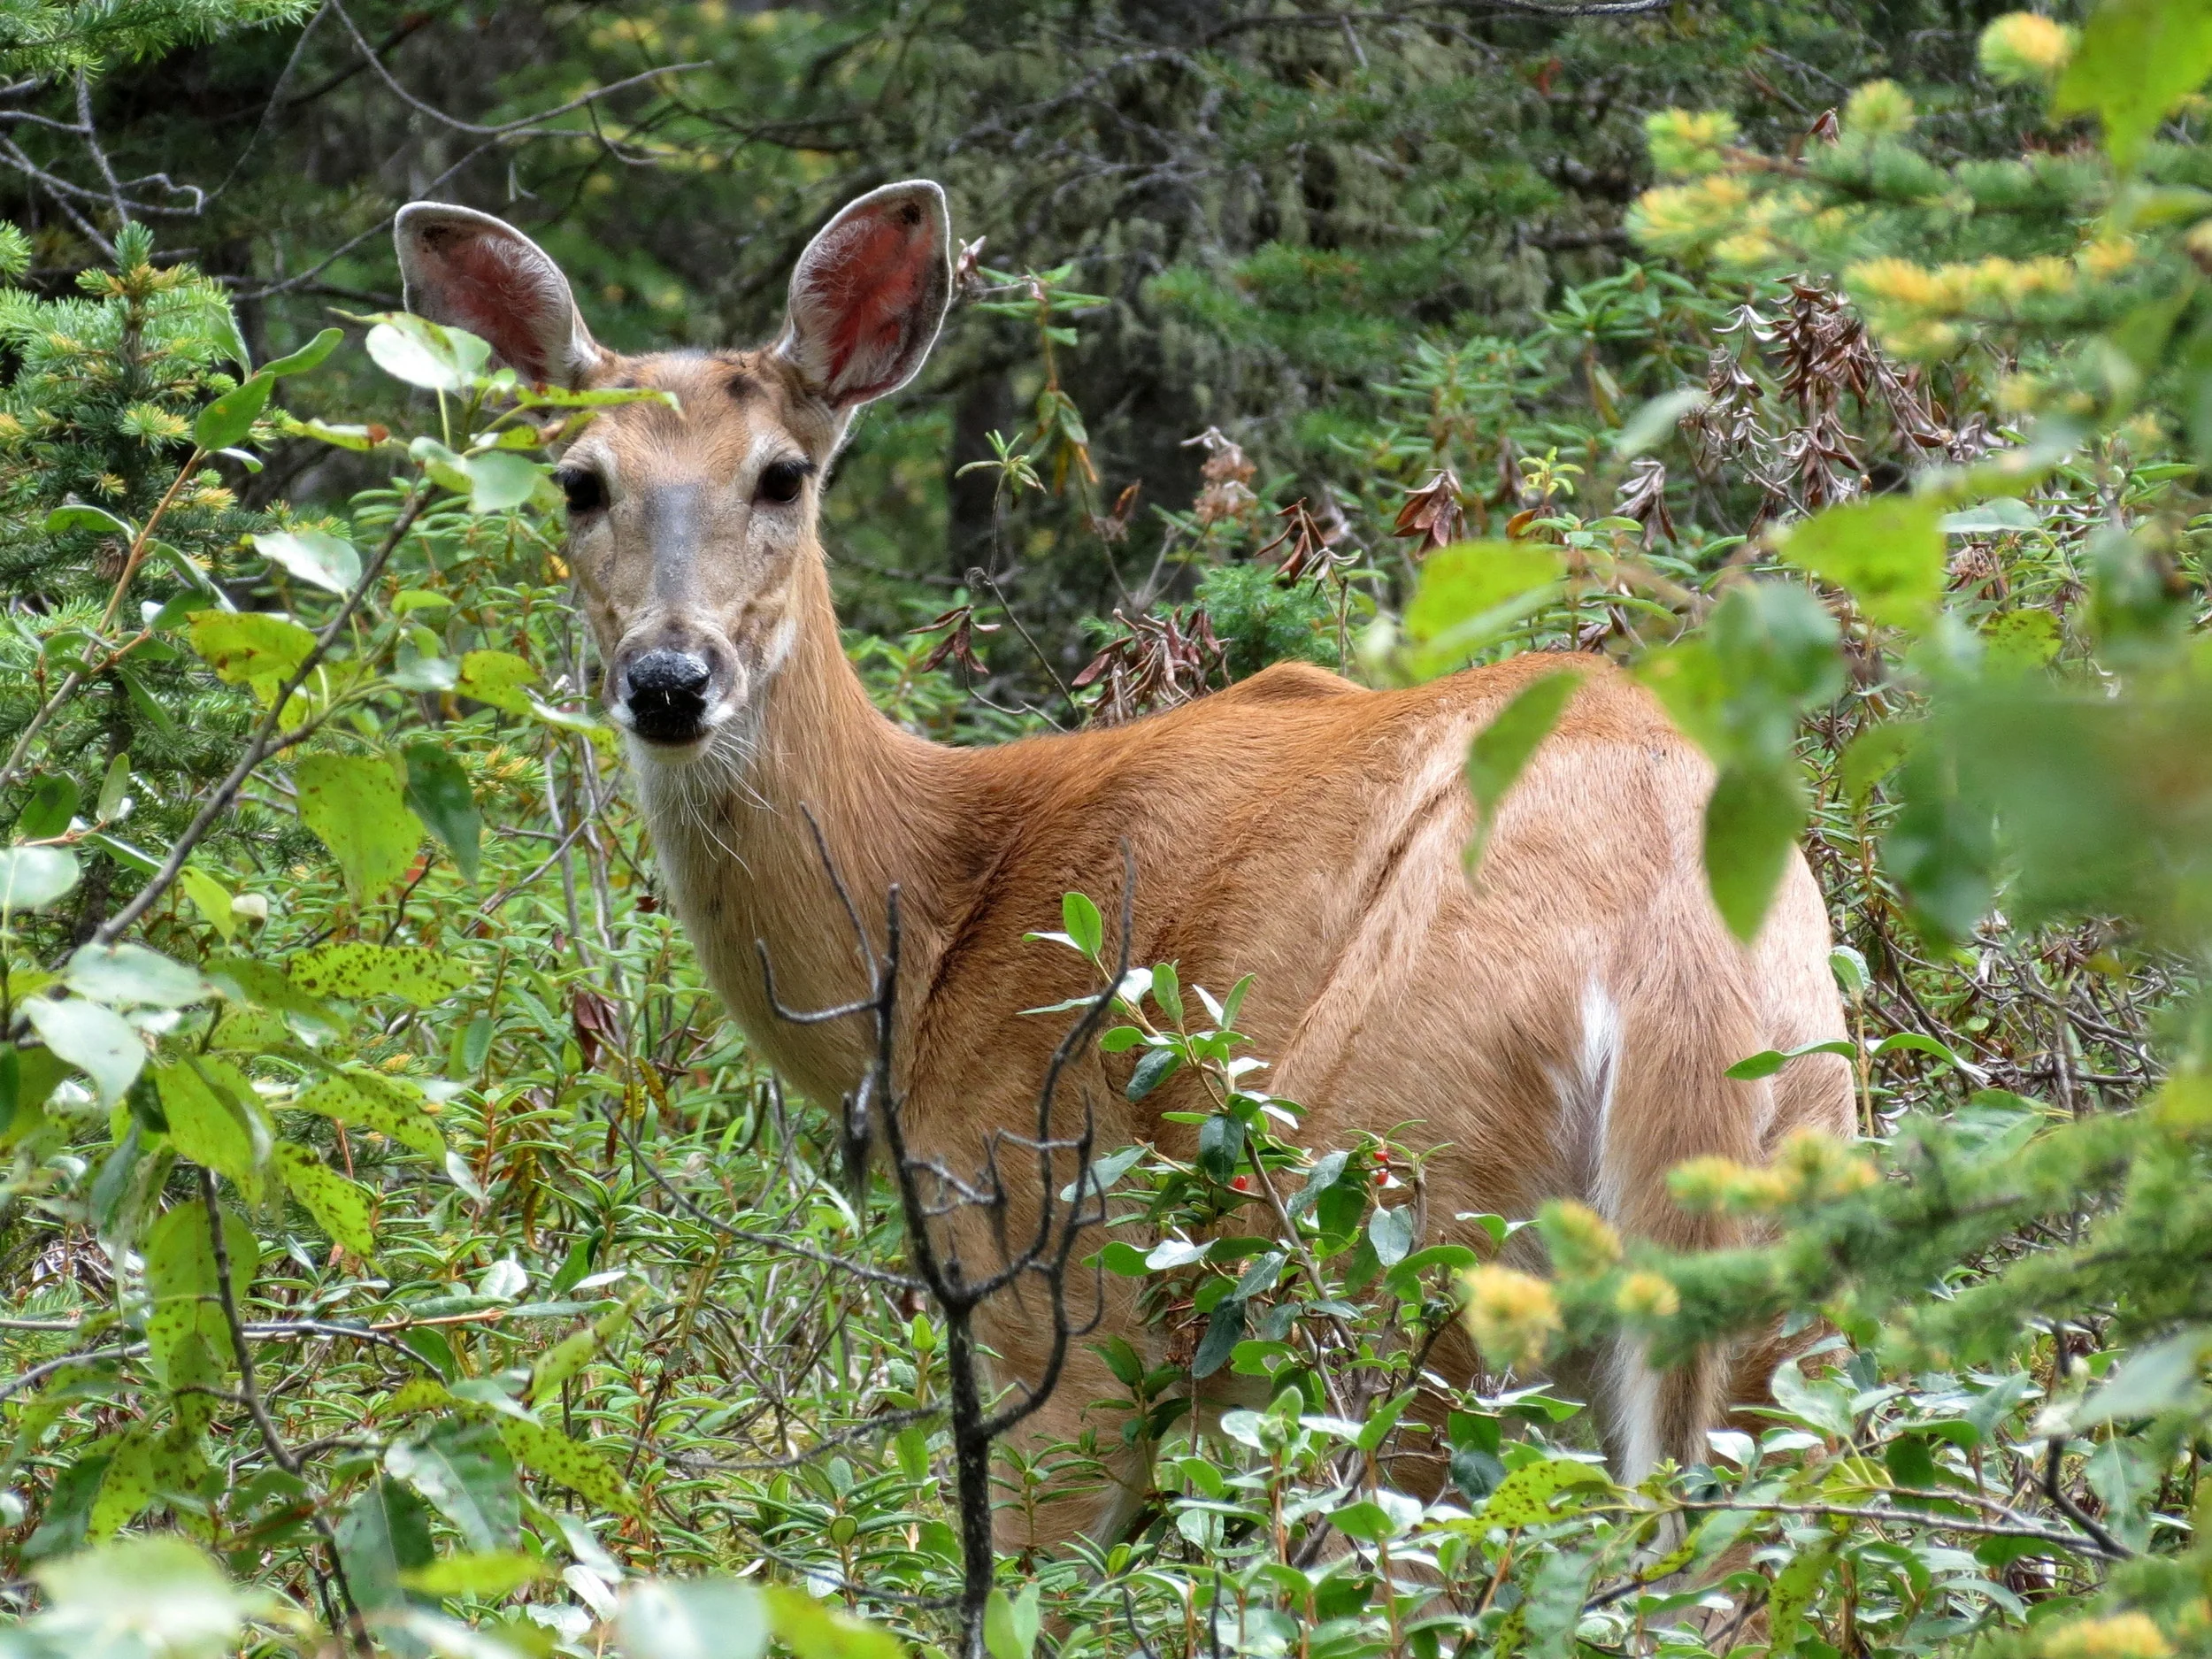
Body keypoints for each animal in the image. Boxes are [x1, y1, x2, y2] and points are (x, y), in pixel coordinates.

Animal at [395, 180, 1853, 1552]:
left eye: (782, 475)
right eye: (578, 480)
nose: (667, 679)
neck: (937, 931)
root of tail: (1672, 966)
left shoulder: (1053, 1279)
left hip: (1393, 1234)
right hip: (1790, 1280)